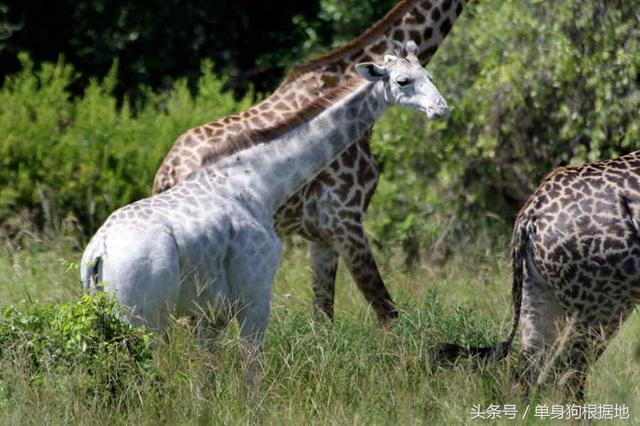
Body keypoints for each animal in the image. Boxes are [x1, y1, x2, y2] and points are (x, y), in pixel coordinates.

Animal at [81, 47, 450, 382]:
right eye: (402, 81)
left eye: (430, 75)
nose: (442, 109)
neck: (261, 182)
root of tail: (96, 252)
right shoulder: (255, 295)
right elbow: (252, 374)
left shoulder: (211, 311)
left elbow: (207, 376)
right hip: (143, 318)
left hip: (106, 320)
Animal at [152, 0, 468, 322]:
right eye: (403, 81)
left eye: (431, 78)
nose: (442, 109)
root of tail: (166, 173)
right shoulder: (345, 219)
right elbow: (386, 311)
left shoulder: (320, 235)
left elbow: (324, 314)